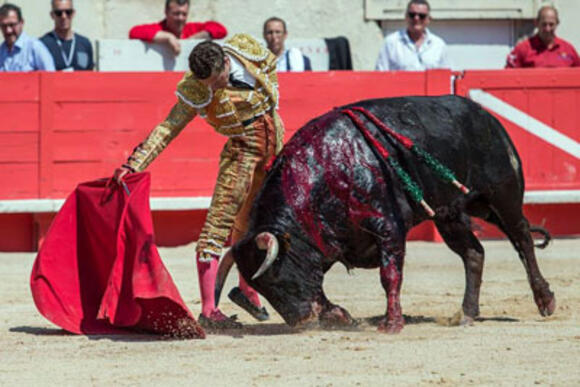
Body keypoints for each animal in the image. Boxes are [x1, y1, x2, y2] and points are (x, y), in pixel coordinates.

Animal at [229, 94, 556, 334]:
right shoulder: (328, 244)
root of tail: (487, 117)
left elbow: (390, 275)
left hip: (501, 197)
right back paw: (467, 314)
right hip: (448, 215)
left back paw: (545, 301)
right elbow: (317, 285)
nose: (303, 322)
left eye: (275, 276)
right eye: (259, 286)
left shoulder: (388, 227)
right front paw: (340, 315)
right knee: (474, 253)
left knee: (522, 238)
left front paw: (391, 324)